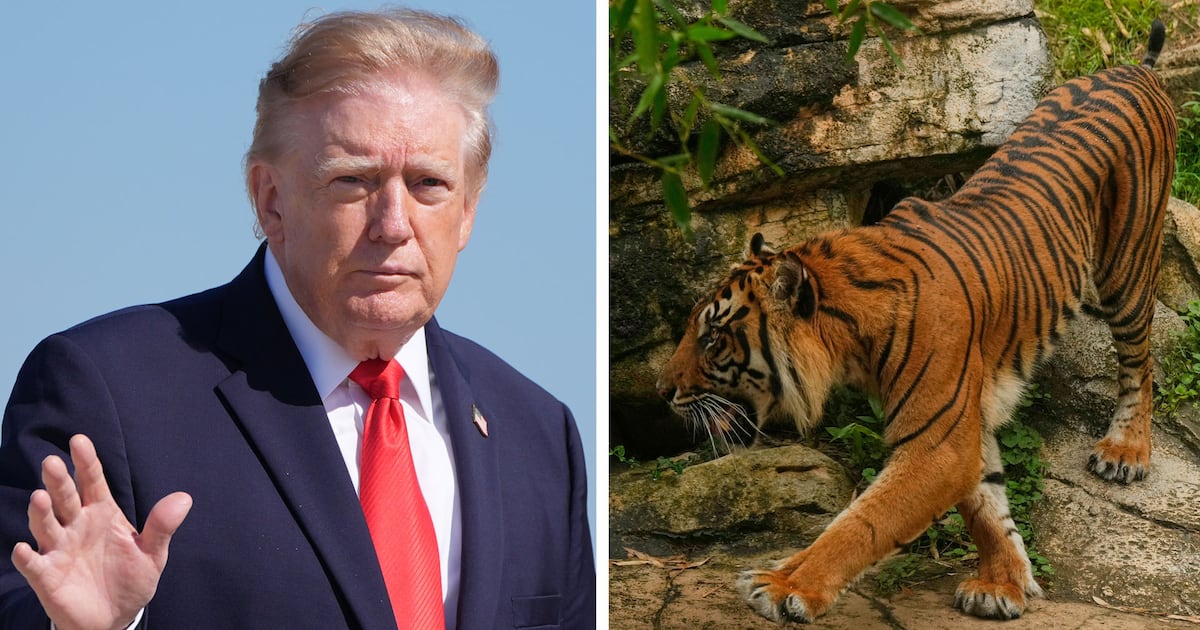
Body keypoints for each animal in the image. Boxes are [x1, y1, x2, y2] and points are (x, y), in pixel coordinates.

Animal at [656, 20, 1176, 623]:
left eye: (714, 337)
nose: (661, 391)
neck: (849, 338)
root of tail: (1136, 69)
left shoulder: (936, 441)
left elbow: (862, 521)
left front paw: (784, 585)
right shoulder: (965, 419)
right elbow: (986, 505)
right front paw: (1004, 584)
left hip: (1127, 266)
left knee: (1142, 362)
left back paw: (1125, 452)